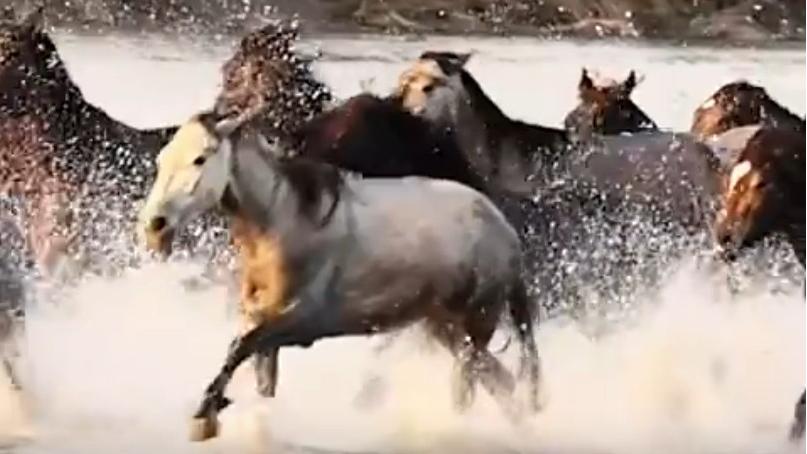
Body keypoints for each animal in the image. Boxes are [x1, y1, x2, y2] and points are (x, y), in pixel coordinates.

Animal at [137, 112, 542, 441]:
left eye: (200, 158)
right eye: (162, 159)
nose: (154, 225)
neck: (285, 221)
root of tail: (505, 231)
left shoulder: (299, 322)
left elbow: (238, 347)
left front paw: (204, 417)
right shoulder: (266, 330)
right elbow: (258, 375)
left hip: (475, 325)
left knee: (469, 387)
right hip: (446, 328)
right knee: (502, 382)